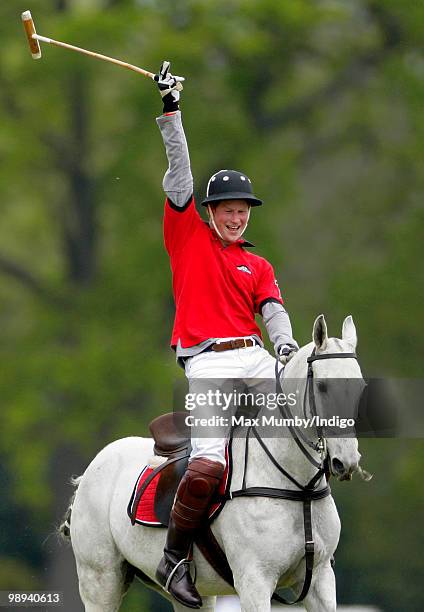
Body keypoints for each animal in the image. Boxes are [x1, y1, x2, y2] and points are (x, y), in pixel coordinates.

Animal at [61, 316, 370, 612]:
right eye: (322, 386)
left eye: (361, 387)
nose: (346, 461)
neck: (298, 486)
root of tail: (94, 465)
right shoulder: (254, 580)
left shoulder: (320, 579)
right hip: (100, 579)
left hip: (194, 597)